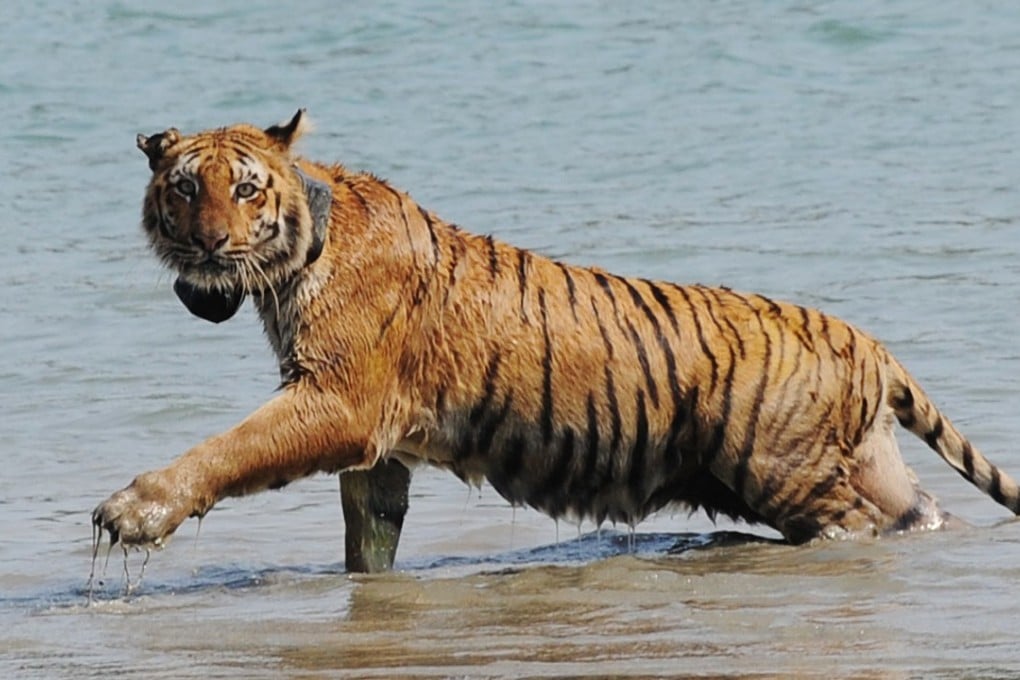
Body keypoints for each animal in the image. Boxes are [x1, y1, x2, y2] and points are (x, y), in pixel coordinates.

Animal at [93, 110, 1020, 564]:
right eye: (185, 188)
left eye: (247, 190)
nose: (209, 245)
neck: (291, 260)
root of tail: (868, 341)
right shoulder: (378, 449)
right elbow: (370, 539)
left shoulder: (338, 402)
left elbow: (231, 448)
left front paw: (133, 512)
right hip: (866, 470)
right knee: (921, 513)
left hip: (786, 475)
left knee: (849, 528)